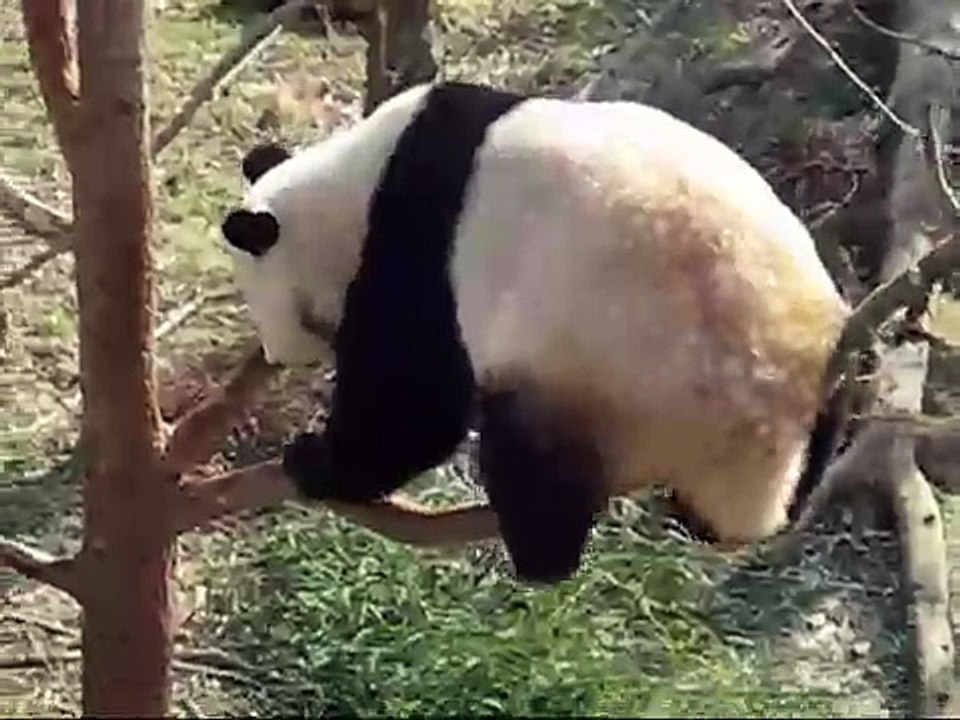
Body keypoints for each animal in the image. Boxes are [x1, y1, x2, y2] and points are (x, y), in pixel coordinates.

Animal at [220, 80, 851, 584]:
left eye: (258, 298)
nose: (279, 352)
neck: (353, 186)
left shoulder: (422, 237)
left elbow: (414, 401)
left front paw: (316, 462)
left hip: (605, 367)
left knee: (529, 455)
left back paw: (538, 553)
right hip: (826, 335)